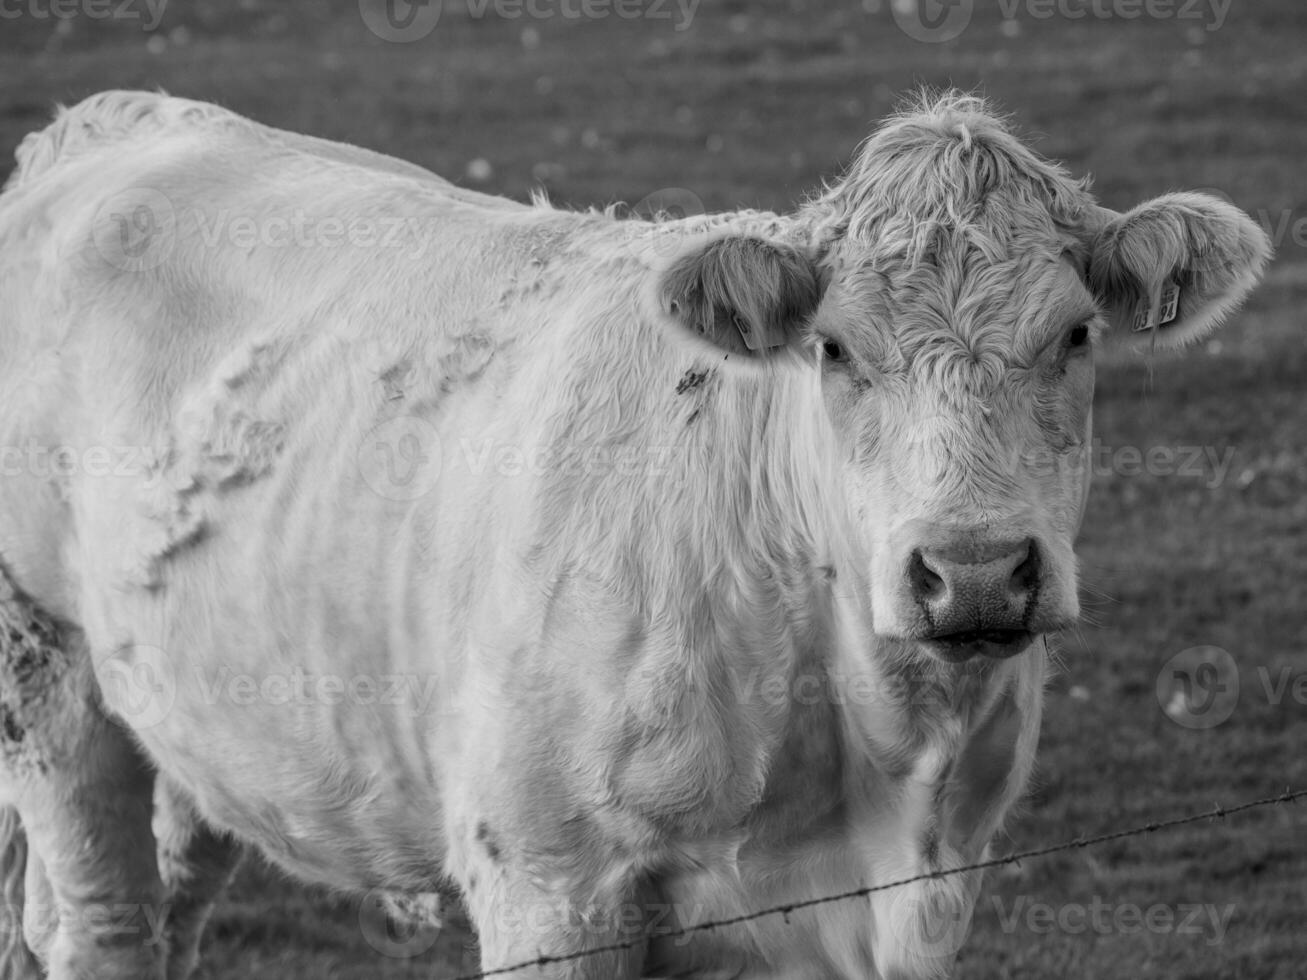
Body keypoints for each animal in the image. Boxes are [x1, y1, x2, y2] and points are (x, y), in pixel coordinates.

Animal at [0, 92, 1265, 980]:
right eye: (833, 348)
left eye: (1075, 334)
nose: (972, 573)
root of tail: (104, 121)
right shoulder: (544, 880)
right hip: (48, 671)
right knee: (102, 925)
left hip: (205, 723)